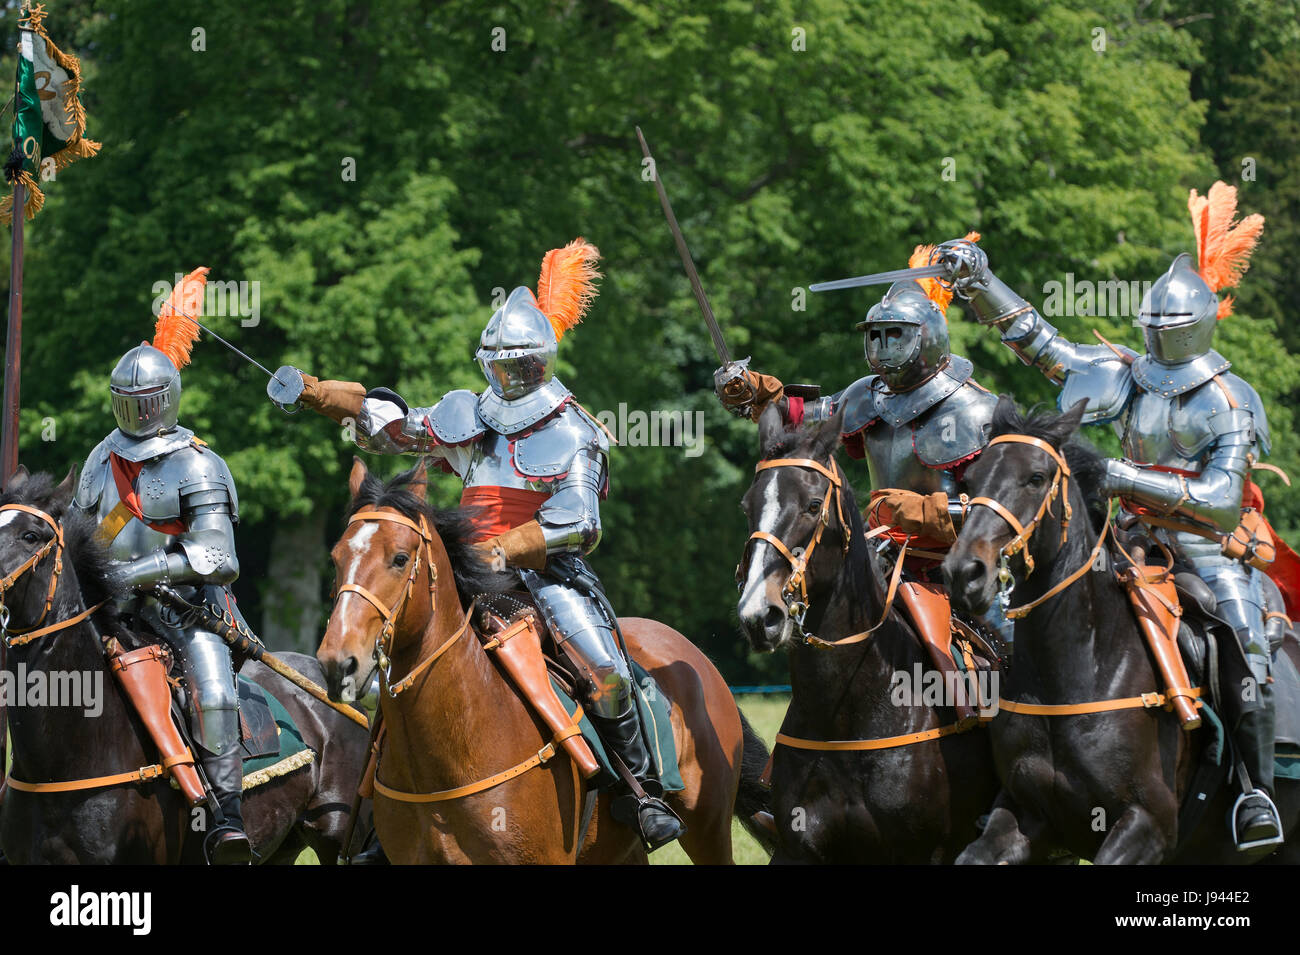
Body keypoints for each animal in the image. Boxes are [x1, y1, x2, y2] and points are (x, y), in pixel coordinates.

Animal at [946, 397, 1300, 867]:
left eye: (1036, 477)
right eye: (970, 479)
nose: (964, 573)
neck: (1078, 671)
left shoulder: (1148, 824)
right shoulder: (1022, 813)